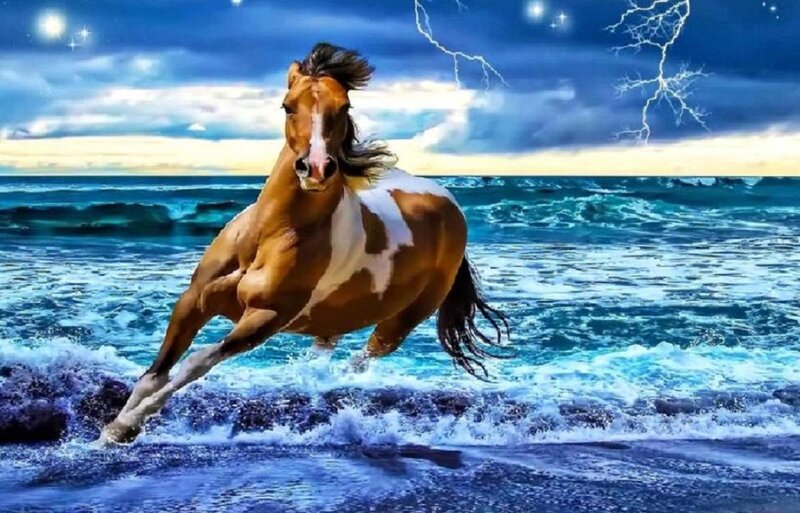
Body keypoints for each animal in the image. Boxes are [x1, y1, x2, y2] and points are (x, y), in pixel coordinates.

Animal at [99, 42, 509, 445]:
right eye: (287, 105)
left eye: (344, 107)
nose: (315, 168)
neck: (268, 236)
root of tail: (449, 204)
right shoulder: (194, 300)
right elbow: (155, 373)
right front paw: (108, 433)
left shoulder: (266, 318)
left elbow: (196, 362)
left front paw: (124, 428)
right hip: (335, 318)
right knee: (325, 353)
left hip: (401, 321)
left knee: (360, 361)